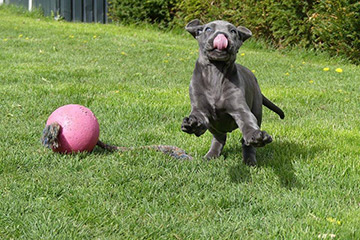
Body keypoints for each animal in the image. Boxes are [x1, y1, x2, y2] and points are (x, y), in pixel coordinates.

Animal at [181, 19, 286, 165]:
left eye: (233, 31)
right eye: (208, 29)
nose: (222, 35)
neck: (216, 72)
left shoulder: (240, 108)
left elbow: (248, 123)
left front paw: (256, 135)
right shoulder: (200, 108)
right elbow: (198, 118)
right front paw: (192, 124)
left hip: (257, 109)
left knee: (246, 142)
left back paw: (250, 160)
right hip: (214, 126)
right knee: (219, 137)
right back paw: (211, 155)